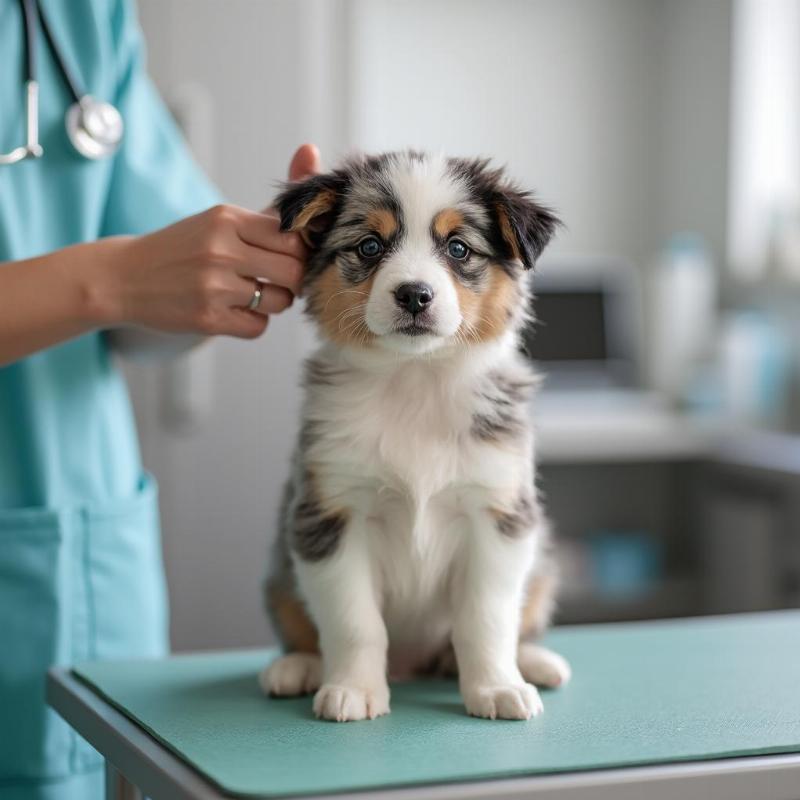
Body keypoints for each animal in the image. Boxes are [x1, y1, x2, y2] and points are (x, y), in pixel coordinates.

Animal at [260, 148, 568, 720]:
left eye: (458, 247)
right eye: (370, 245)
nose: (414, 295)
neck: (415, 379)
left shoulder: (499, 512)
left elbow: (487, 617)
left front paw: (496, 688)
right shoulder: (329, 512)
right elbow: (354, 621)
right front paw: (354, 690)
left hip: (542, 564)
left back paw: (533, 662)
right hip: (279, 572)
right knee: (301, 626)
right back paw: (297, 667)